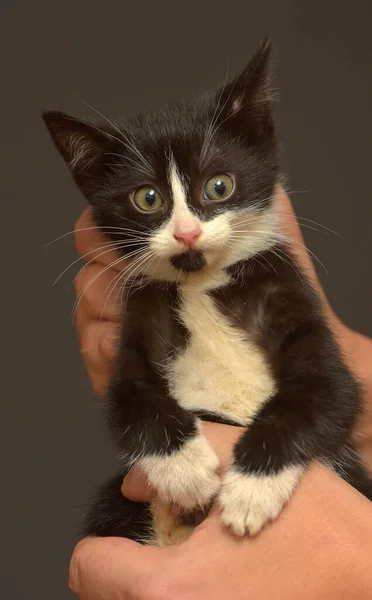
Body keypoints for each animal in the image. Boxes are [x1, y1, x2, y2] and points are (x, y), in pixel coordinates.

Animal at [42, 39, 370, 548]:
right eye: (148, 198)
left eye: (219, 186)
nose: (187, 233)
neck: (201, 283)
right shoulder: (141, 316)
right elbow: (130, 397)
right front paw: (186, 469)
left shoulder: (292, 298)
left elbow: (325, 393)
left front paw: (250, 492)